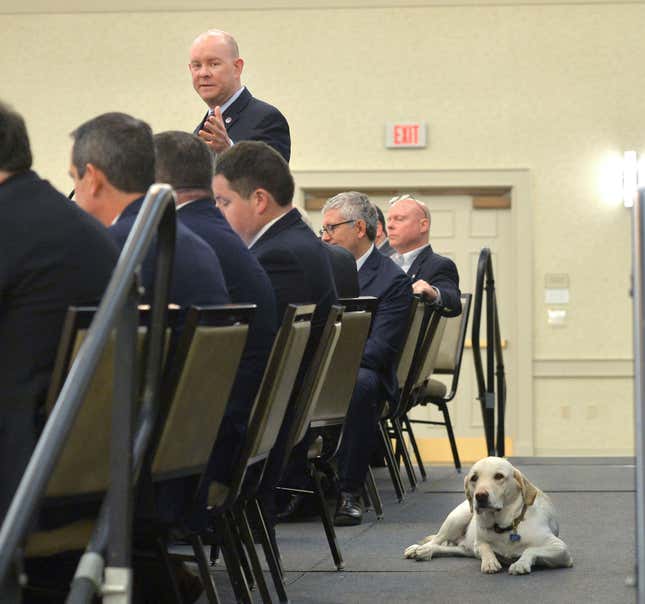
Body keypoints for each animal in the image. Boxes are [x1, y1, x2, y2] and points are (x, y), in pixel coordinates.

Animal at [402, 458, 572, 576]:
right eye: (474, 478)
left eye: (499, 476)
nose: (480, 496)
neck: (505, 525)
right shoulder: (478, 543)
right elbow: (485, 547)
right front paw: (490, 562)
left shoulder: (561, 549)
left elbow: (530, 549)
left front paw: (520, 564)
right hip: (457, 518)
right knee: (436, 540)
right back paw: (420, 549)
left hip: (465, 549)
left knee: (443, 547)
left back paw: (424, 551)